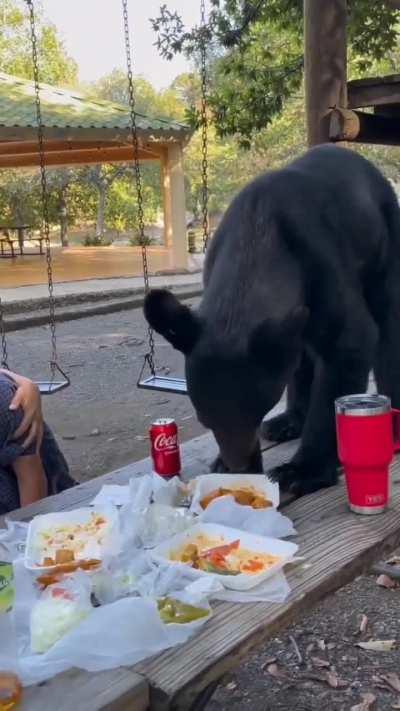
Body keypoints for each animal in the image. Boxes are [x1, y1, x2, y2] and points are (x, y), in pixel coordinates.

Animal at [144, 144, 400, 496]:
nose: (239, 467)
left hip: (384, 243)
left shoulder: (322, 264)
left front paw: (304, 469)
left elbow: (349, 345)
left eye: (257, 410)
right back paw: (289, 420)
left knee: (388, 325)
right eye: (206, 420)